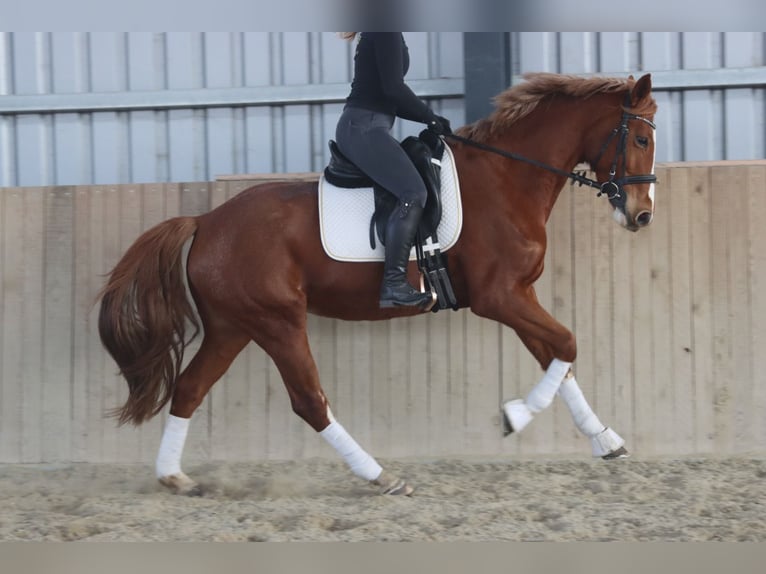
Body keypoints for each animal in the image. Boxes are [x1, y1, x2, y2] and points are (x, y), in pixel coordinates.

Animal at [97, 71, 660, 496]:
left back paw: (174, 477)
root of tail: (206, 221)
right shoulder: (500, 297)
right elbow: (568, 344)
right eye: (641, 138)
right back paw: (380, 476)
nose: (641, 216)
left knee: (190, 388)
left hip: (232, 327)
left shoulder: (520, 295)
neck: (506, 179)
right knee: (309, 401)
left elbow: (558, 358)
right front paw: (515, 417)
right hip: (277, 322)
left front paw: (605, 440)